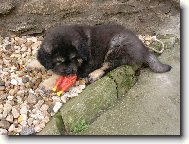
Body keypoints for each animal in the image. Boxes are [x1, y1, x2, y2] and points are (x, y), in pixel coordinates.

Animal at [37, 23, 171, 82]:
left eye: (74, 58)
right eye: (59, 62)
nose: (70, 71)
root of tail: (144, 50)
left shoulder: (91, 61)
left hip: (116, 46)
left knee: (107, 66)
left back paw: (94, 75)